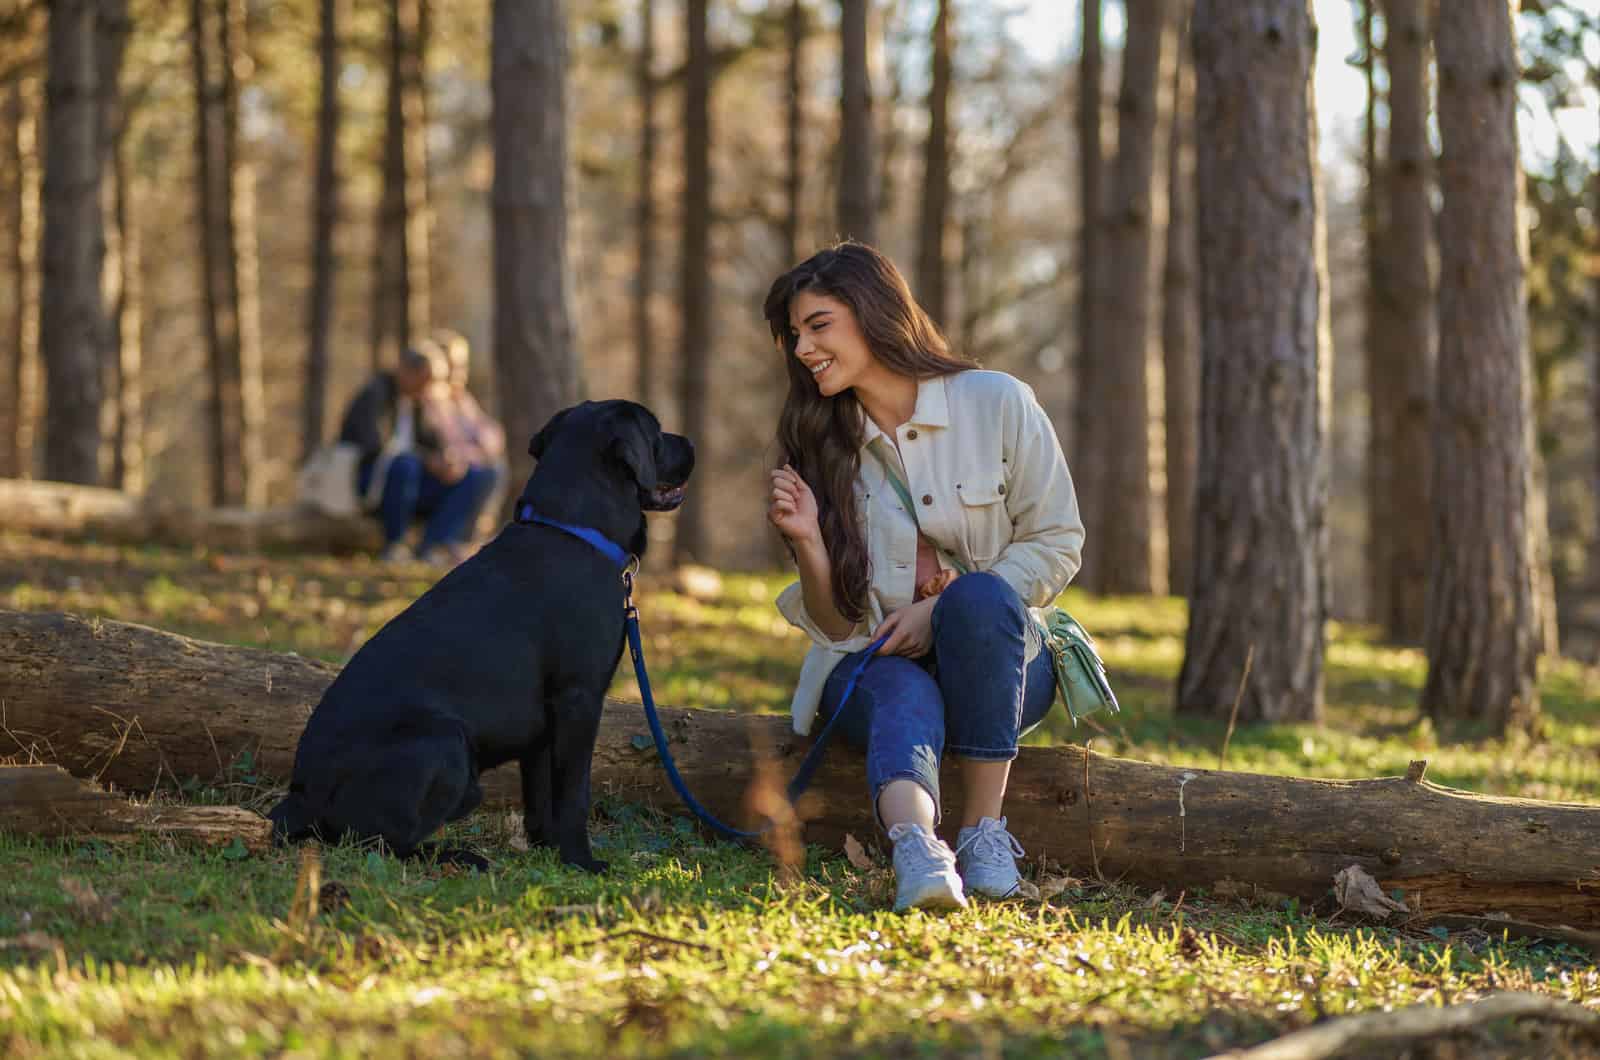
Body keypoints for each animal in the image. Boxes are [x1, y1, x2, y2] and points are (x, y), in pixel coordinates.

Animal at [270, 398, 694, 871]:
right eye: (657, 432)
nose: (691, 443)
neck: (573, 530)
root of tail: (299, 796)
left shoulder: (544, 725)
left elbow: (540, 797)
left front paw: (547, 849)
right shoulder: (578, 698)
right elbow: (573, 795)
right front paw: (581, 861)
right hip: (445, 740)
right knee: (383, 841)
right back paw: (458, 854)